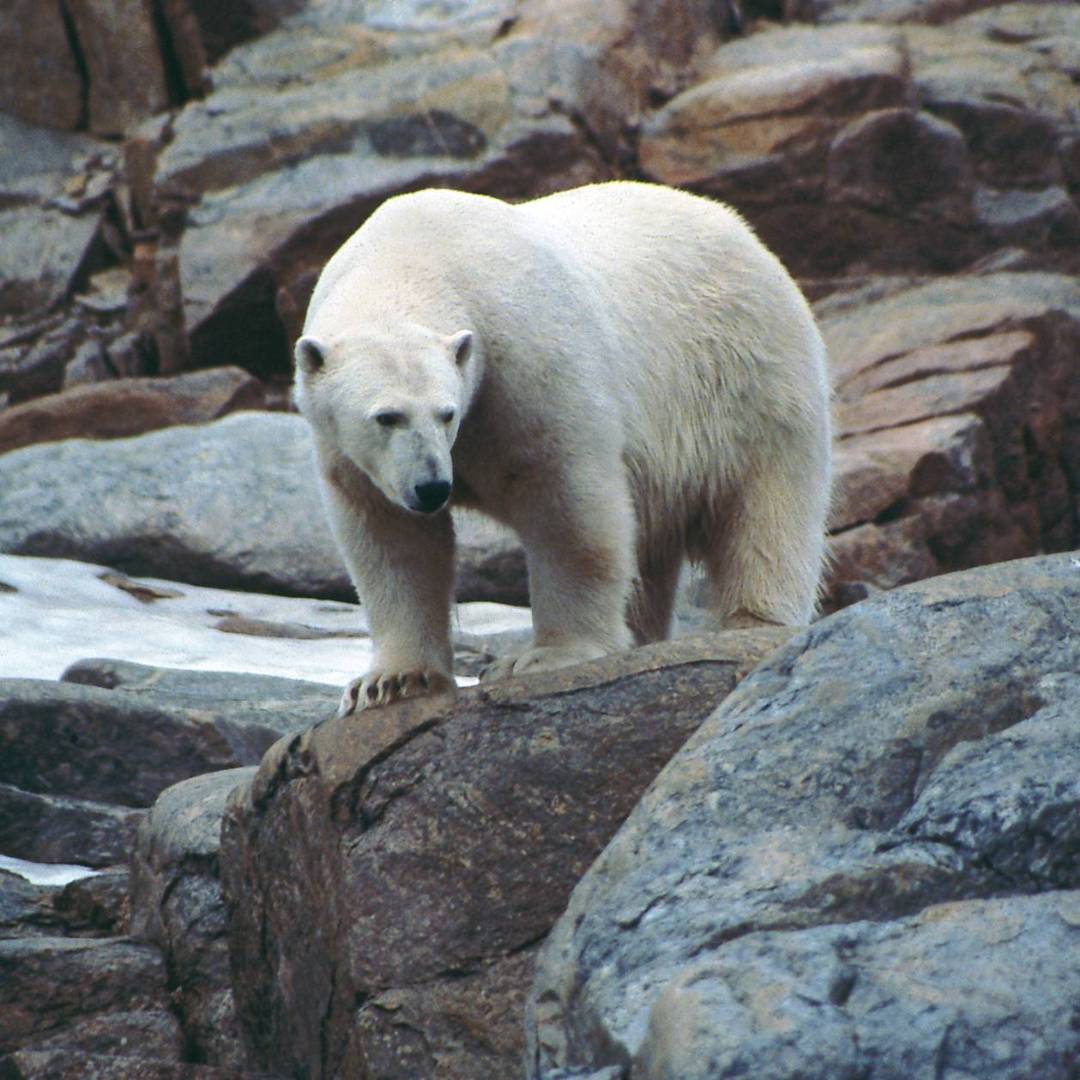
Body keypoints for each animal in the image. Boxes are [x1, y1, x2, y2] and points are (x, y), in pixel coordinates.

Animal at [293, 181, 832, 715]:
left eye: (447, 413)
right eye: (386, 417)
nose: (432, 487)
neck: (415, 253)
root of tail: (746, 234)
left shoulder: (527, 362)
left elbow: (568, 506)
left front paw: (547, 657)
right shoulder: (354, 454)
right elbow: (391, 539)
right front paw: (390, 682)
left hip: (746, 377)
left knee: (765, 508)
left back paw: (752, 622)